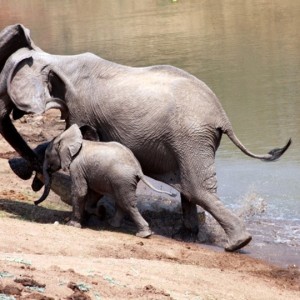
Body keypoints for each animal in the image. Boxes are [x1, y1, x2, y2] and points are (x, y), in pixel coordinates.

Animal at [36, 123, 176, 237]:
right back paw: (113, 225)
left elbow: (80, 191)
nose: (35, 202)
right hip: (121, 181)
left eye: (47, 156)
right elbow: (94, 193)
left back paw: (144, 234)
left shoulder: (77, 167)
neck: (70, 139)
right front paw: (97, 213)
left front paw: (72, 224)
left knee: (126, 202)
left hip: (122, 179)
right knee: (121, 200)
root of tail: (138, 169)